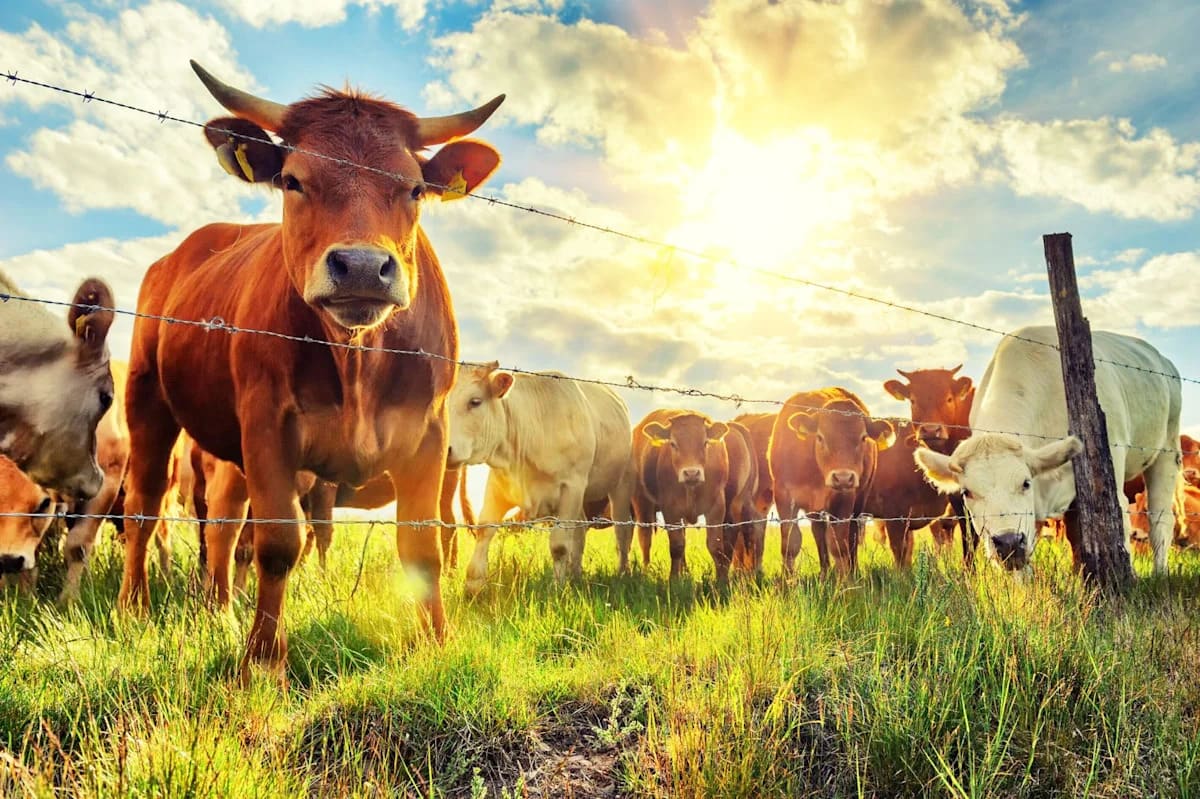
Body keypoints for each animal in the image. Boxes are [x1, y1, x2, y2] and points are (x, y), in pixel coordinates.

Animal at [119, 60, 504, 682]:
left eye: (414, 188)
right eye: (293, 181)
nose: (364, 267)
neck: (358, 359)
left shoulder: (430, 434)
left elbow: (422, 545)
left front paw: (436, 644)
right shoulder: (268, 425)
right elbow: (279, 544)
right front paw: (262, 663)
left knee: (224, 519)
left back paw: (220, 611)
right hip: (147, 399)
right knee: (146, 506)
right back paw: (135, 609)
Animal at [445, 362, 635, 594]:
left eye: (475, 401)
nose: (446, 449)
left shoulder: (571, 487)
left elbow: (560, 544)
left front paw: (558, 589)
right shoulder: (499, 485)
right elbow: (485, 530)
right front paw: (473, 585)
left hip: (620, 486)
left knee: (622, 532)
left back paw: (622, 573)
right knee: (580, 531)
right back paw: (575, 574)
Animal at [632, 410, 754, 581]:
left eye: (705, 443)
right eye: (673, 444)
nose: (691, 473)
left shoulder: (716, 508)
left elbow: (715, 546)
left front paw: (722, 581)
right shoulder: (670, 509)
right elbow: (676, 546)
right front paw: (674, 580)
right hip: (641, 502)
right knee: (645, 538)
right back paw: (646, 572)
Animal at [769, 388, 894, 576]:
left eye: (863, 437)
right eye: (820, 437)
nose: (843, 477)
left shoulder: (843, 499)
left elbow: (839, 546)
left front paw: (844, 580)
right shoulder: (784, 496)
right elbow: (791, 543)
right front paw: (787, 579)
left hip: (858, 500)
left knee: (852, 535)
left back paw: (852, 570)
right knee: (819, 533)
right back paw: (824, 572)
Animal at [915, 326, 1181, 576]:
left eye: (1025, 483)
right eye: (967, 492)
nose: (1008, 542)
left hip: (1168, 448)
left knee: (1160, 519)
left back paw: (1160, 573)